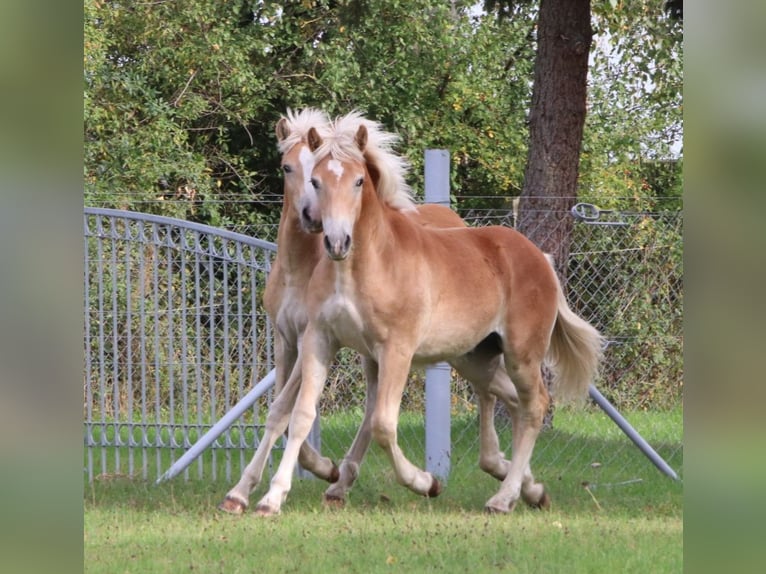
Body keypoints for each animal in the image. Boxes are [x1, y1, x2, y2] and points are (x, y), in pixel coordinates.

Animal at [219, 110, 464, 516]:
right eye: (287, 167)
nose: (312, 217)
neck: (300, 267)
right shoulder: (286, 340)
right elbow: (281, 412)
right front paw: (243, 491)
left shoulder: (310, 338)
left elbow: (290, 412)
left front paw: (318, 469)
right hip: (371, 352)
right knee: (373, 409)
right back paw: (342, 484)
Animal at [254, 122, 608, 516]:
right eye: (315, 180)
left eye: (359, 181)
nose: (335, 240)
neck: (368, 265)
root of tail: (540, 258)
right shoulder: (319, 340)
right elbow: (300, 414)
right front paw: (271, 498)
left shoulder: (396, 350)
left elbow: (382, 424)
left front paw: (425, 482)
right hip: (475, 357)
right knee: (504, 399)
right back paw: (528, 487)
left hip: (522, 354)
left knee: (534, 408)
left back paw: (505, 497)